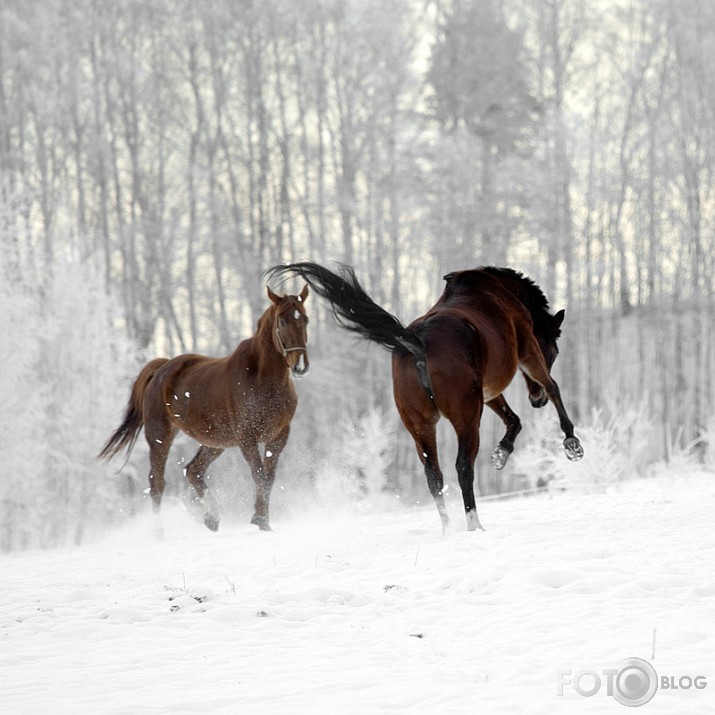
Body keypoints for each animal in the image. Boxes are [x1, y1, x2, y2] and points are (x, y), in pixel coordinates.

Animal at [99, 286, 310, 532]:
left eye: (305, 319)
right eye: (282, 321)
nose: (300, 366)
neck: (262, 379)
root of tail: (162, 367)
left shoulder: (278, 436)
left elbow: (268, 478)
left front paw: (262, 520)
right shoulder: (246, 438)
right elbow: (259, 475)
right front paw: (260, 520)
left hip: (215, 441)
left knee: (193, 470)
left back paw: (212, 518)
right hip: (160, 436)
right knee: (157, 482)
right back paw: (159, 532)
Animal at [268, 262, 580, 532]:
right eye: (554, 350)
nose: (536, 400)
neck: (500, 292)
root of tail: (417, 343)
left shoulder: (488, 392)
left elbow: (513, 419)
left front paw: (501, 454)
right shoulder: (528, 352)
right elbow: (553, 387)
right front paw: (571, 443)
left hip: (421, 427)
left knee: (434, 477)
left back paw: (448, 528)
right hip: (466, 419)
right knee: (462, 467)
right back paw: (474, 525)